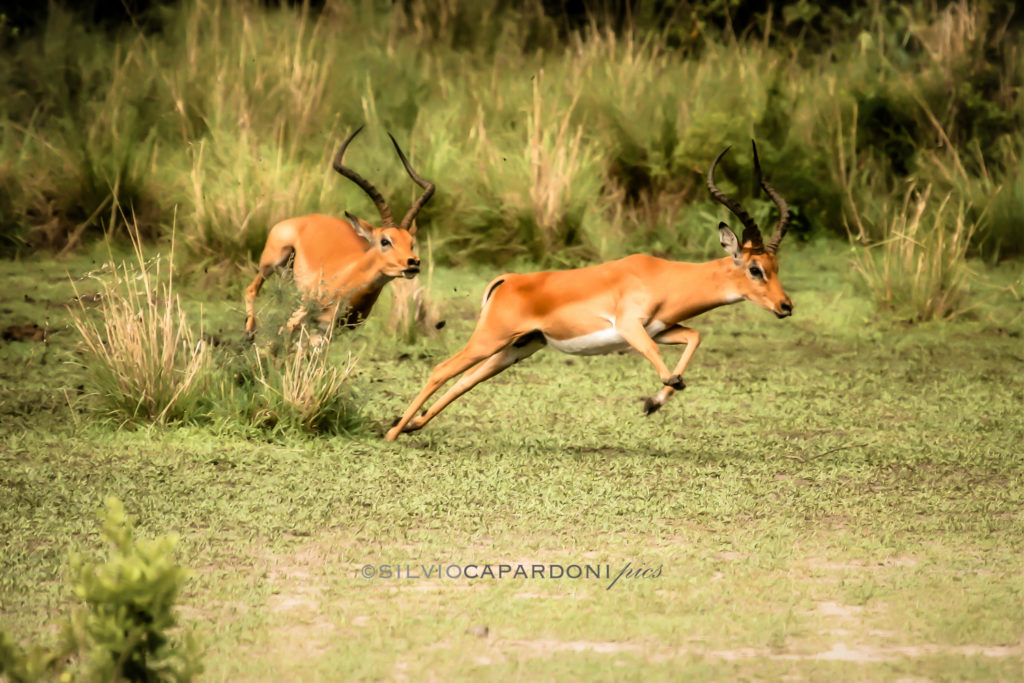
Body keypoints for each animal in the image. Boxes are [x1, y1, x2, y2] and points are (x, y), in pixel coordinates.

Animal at [244, 126, 434, 341]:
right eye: (385, 241)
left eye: (411, 243)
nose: (413, 262)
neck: (351, 279)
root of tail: (304, 219)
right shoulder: (304, 316)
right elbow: (280, 337)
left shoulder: (327, 331)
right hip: (270, 262)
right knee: (251, 290)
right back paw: (249, 331)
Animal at [385, 141, 792, 442]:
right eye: (755, 269)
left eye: (776, 267)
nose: (786, 306)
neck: (664, 277)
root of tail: (508, 279)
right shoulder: (630, 327)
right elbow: (663, 365)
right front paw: (657, 396)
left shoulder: (663, 328)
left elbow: (693, 338)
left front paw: (653, 403)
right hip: (491, 339)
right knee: (441, 370)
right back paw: (392, 433)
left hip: (517, 348)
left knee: (464, 381)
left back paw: (413, 426)